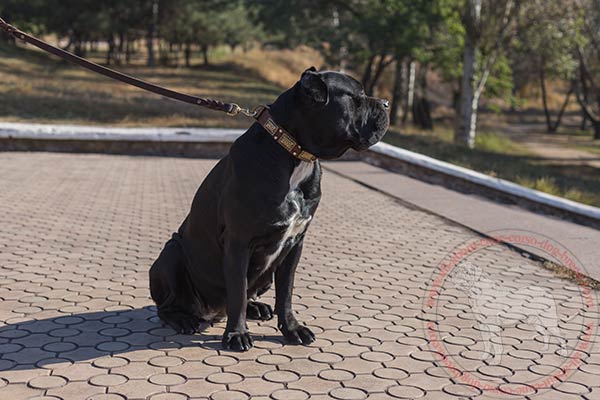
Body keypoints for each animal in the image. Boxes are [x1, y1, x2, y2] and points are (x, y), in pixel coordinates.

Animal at [150, 66, 390, 350]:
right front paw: (237, 334)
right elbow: (237, 293)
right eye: (358, 98)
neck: (295, 154)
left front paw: (292, 329)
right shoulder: (239, 243)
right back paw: (184, 319)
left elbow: (285, 293)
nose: (386, 103)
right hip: (171, 254)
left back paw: (256, 308)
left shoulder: (294, 244)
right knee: (167, 306)